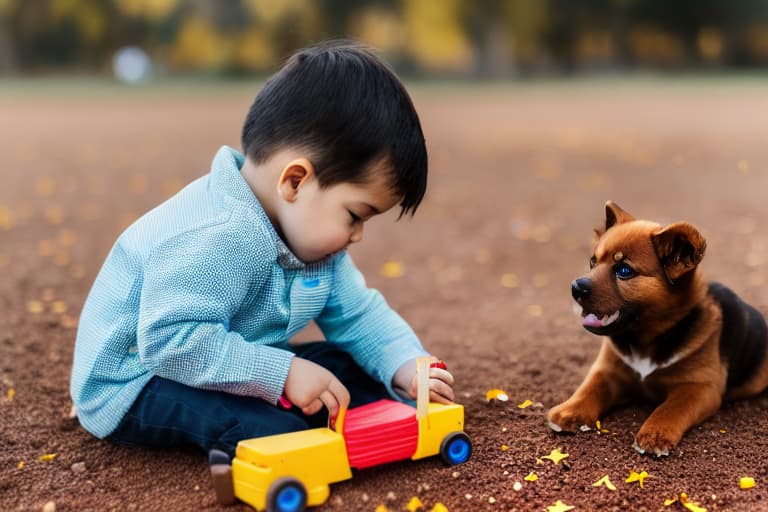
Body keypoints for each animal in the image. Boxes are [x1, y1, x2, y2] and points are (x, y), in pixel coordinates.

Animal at [544, 200, 768, 456]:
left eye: (624, 271)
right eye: (593, 261)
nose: (575, 288)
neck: (645, 338)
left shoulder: (701, 388)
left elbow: (672, 407)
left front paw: (655, 433)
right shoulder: (607, 371)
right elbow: (589, 388)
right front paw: (570, 410)